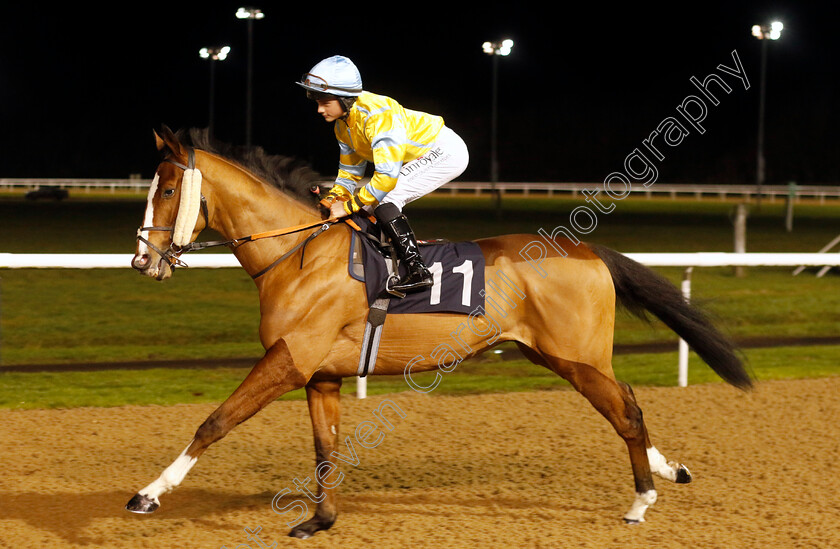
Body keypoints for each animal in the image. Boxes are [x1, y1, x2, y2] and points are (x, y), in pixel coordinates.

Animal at [128, 126, 752, 536]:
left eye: (166, 190)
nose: (142, 261)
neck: (297, 254)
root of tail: (588, 248)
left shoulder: (289, 359)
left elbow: (215, 421)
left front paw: (149, 494)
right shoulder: (321, 373)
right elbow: (326, 447)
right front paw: (320, 519)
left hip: (577, 356)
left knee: (627, 414)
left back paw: (641, 500)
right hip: (560, 356)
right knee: (627, 406)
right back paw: (668, 469)